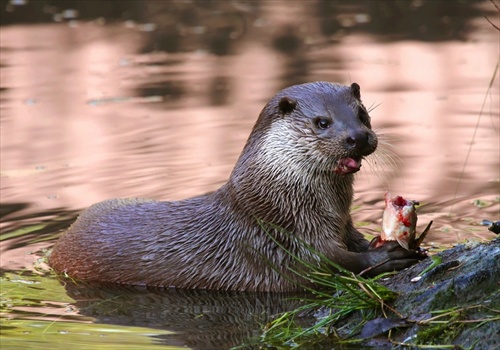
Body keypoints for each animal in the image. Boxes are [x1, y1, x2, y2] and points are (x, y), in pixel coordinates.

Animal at [50, 82, 424, 292]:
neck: (279, 199)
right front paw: (386, 255)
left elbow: (352, 241)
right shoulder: (280, 238)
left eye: (362, 113)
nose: (358, 137)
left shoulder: (340, 222)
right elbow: (327, 263)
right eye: (322, 122)